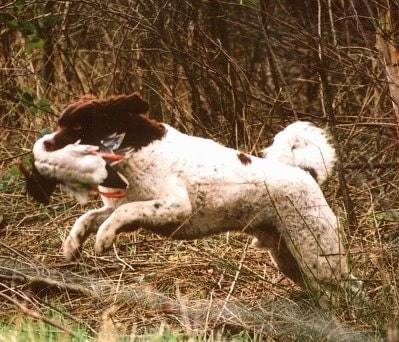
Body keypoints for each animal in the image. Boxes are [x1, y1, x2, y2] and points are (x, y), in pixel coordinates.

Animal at [25, 92, 360, 296]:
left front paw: (104, 238)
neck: (132, 147)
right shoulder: (124, 204)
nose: (45, 145)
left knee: (352, 288)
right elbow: (89, 217)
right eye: (60, 123)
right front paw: (72, 245)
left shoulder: (174, 206)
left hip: (319, 257)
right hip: (291, 259)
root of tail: (307, 173)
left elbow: (119, 214)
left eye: (77, 126)